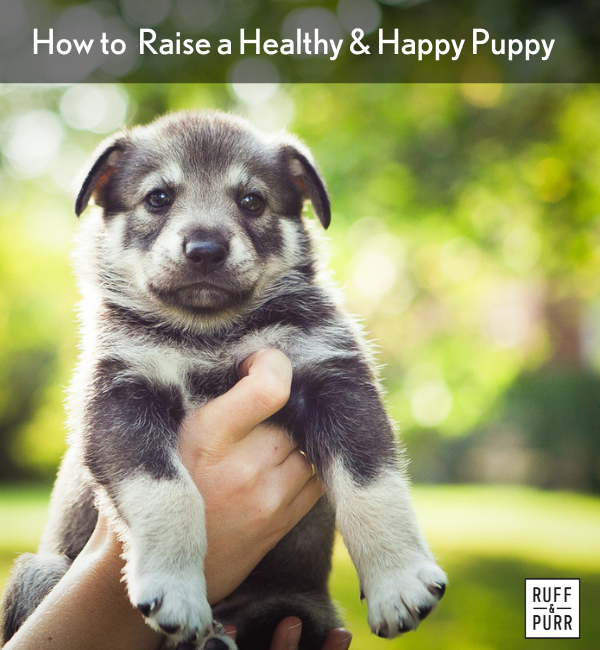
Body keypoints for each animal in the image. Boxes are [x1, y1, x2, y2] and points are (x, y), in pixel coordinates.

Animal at [0, 111, 448, 648]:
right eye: (158, 198)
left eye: (252, 201)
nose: (206, 249)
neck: (211, 332)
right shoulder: (120, 398)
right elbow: (167, 491)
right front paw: (175, 587)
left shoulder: (335, 381)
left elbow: (372, 483)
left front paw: (398, 579)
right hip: (38, 574)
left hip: (298, 611)